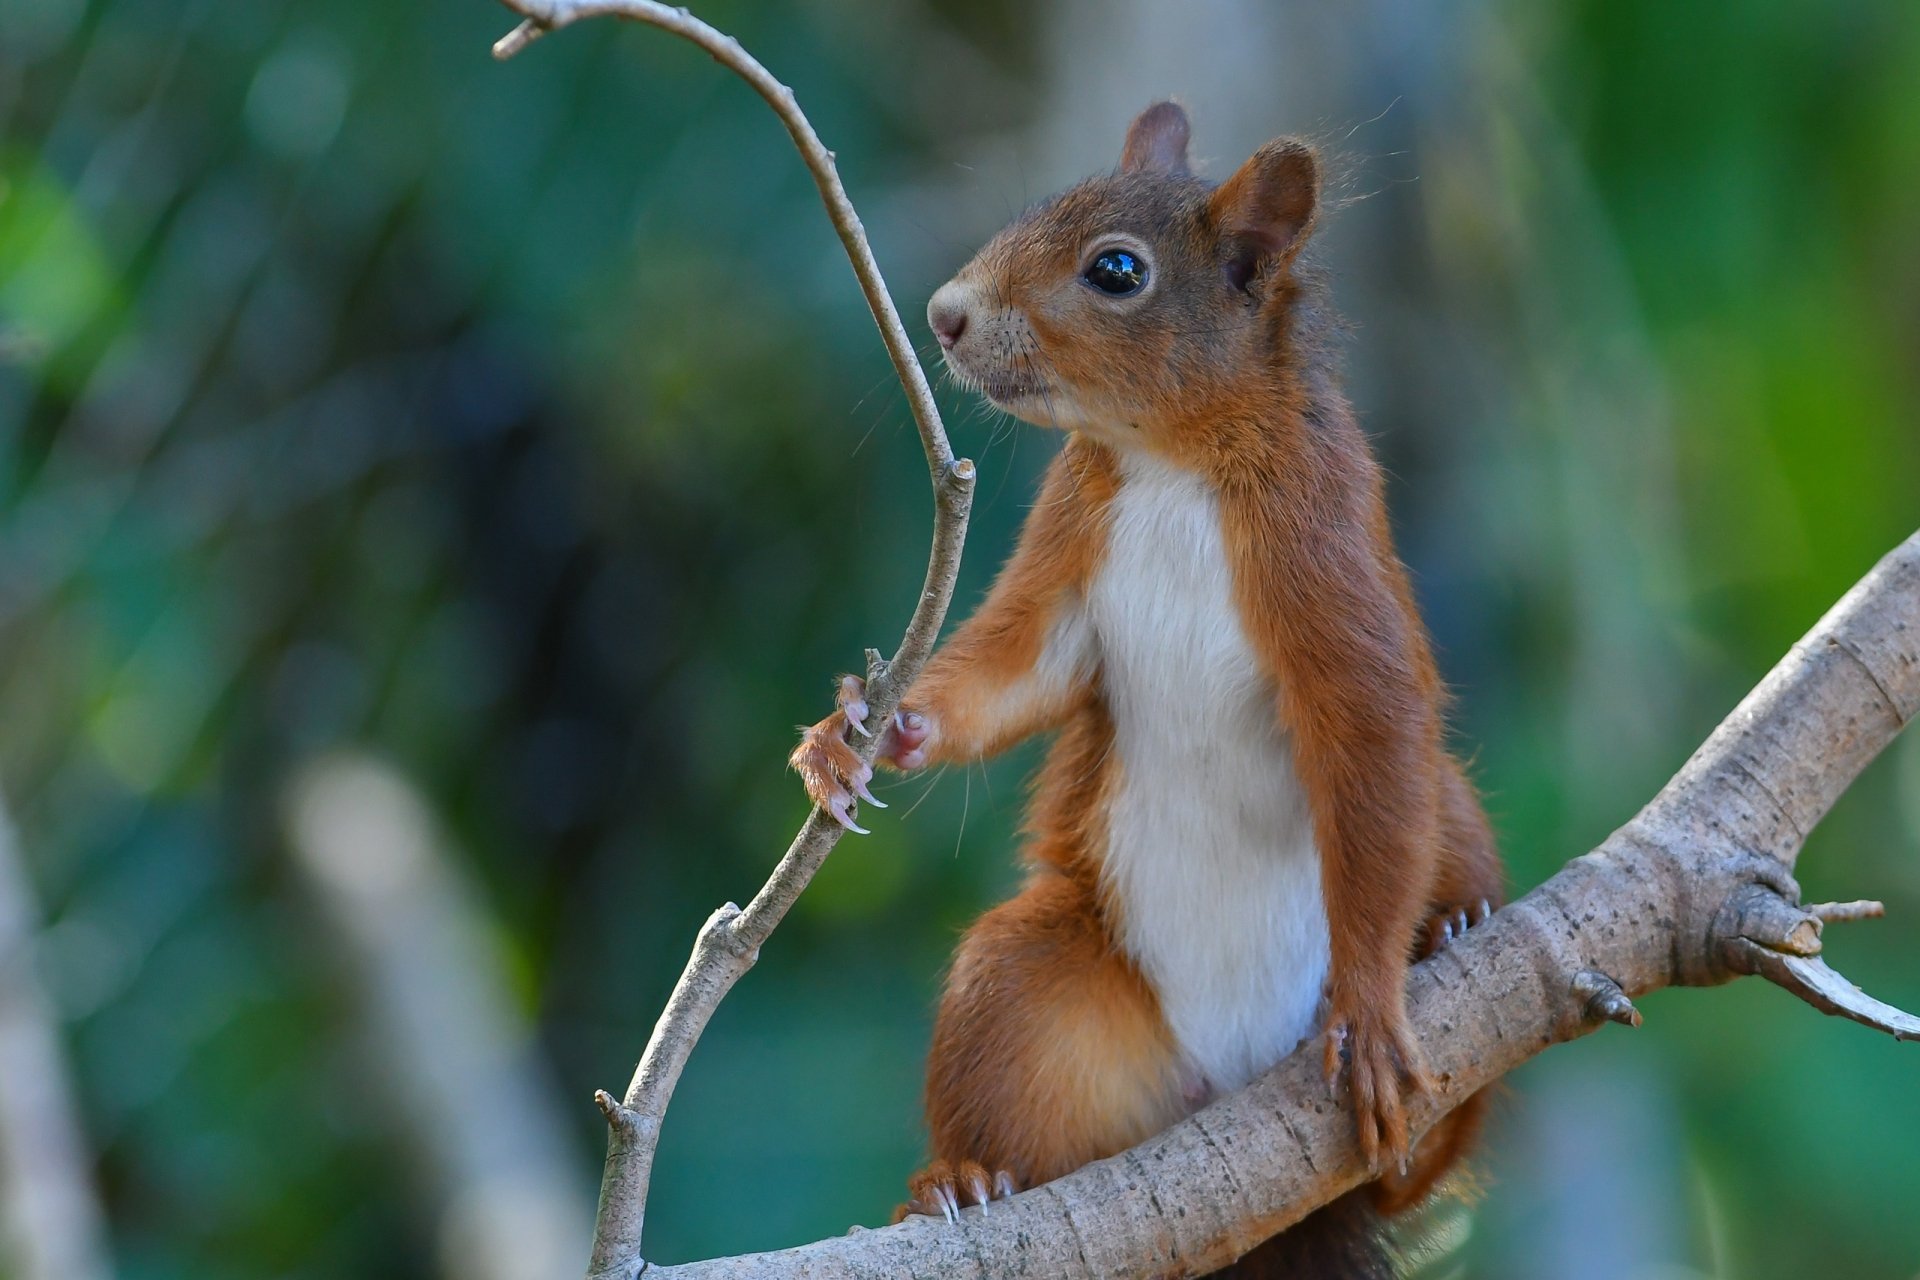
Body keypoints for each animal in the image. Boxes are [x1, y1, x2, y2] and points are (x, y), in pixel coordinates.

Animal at [792, 101, 1505, 1277]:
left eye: (1116, 271)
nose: (942, 314)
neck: (1171, 460)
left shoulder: (1327, 551)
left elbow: (1374, 729)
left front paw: (1371, 1002)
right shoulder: (1069, 546)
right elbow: (1010, 672)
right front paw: (854, 730)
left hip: (1451, 833)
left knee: (1422, 1158)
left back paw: (1453, 929)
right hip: (1032, 984)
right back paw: (964, 1178)